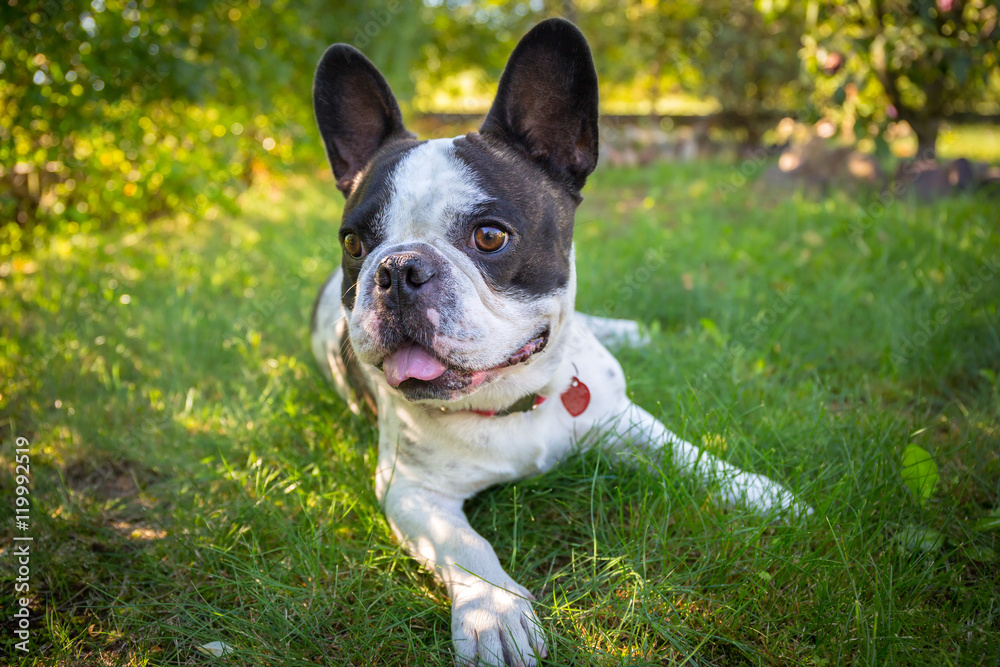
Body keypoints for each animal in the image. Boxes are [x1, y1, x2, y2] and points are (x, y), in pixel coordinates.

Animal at [308, 18, 808, 664]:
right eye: (354, 244)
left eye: (489, 236)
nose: (397, 268)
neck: (517, 401)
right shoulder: (413, 491)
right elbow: (465, 545)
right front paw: (494, 613)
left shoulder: (621, 418)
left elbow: (687, 453)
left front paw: (759, 490)